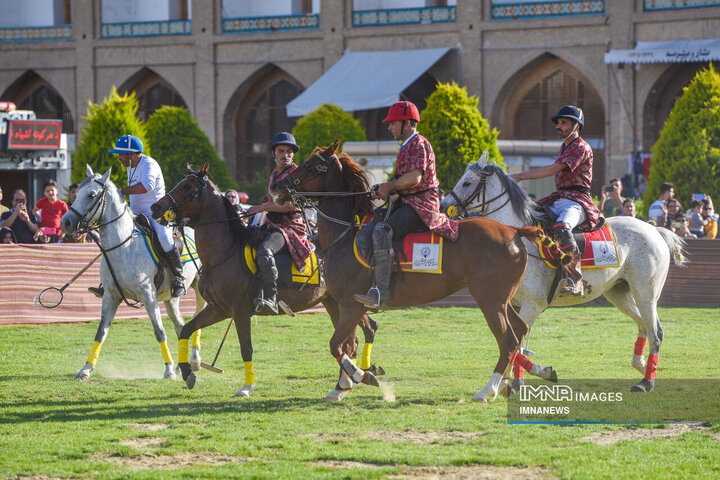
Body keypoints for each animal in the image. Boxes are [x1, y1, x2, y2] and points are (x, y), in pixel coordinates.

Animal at [60, 167, 204, 380]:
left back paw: (193, 360)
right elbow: (101, 332)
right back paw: (183, 365)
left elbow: (159, 331)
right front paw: (85, 369)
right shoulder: (111, 296)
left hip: (201, 287)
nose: (66, 223)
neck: (124, 245)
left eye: (91, 195)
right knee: (180, 326)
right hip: (171, 298)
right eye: (76, 193)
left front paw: (168, 370)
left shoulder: (148, 295)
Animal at [148, 161, 380, 398]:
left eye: (187, 186)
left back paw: (352, 379)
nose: (155, 207)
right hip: (333, 302)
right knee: (354, 338)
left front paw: (247, 387)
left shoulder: (240, 311)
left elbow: (246, 348)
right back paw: (346, 383)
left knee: (355, 338)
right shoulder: (218, 309)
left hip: (345, 303)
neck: (224, 252)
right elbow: (187, 329)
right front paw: (187, 372)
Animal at [268, 141, 544, 404]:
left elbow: (337, 345)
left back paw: (488, 390)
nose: (277, 186)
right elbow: (347, 345)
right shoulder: (346, 306)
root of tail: (514, 231)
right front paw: (342, 386)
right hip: (502, 300)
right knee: (520, 330)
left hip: (490, 301)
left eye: (311, 166)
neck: (345, 235)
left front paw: (360, 376)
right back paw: (517, 381)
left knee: (508, 341)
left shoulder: (351, 305)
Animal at [438, 155, 688, 398]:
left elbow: (516, 343)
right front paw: (509, 382)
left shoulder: (533, 304)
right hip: (618, 293)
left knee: (656, 332)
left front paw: (514, 383)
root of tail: (654, 230)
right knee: (643, 324)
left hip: (646, 293)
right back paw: (641, 364)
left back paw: (646, 382)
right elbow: (513, 344)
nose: (443, 205)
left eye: (467, 182)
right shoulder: (511, 303)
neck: (518, 239)